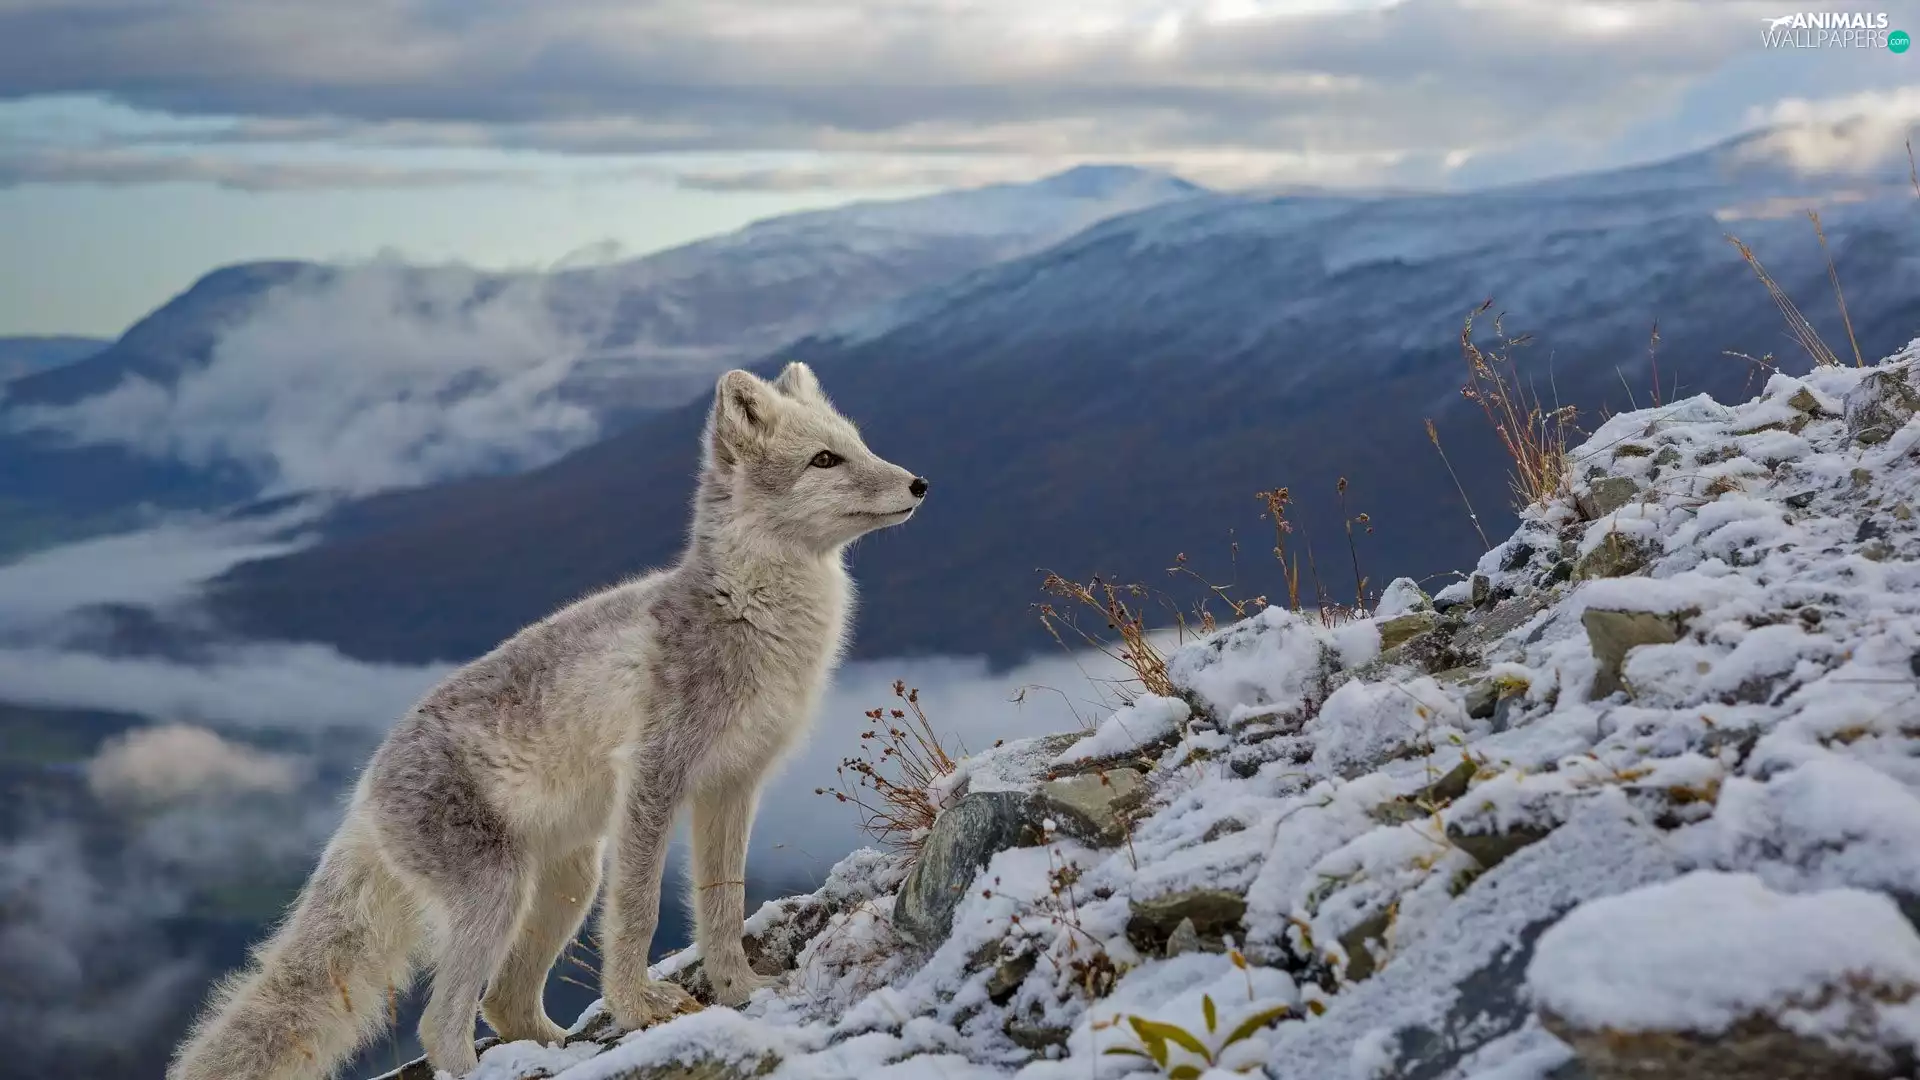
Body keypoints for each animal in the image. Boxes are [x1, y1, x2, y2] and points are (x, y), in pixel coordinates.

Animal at [168, 362, 928, 1080]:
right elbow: (640, 913)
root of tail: (365, 788)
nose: (920, 483)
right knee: (444, 1022)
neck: (749, 614)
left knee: (505, 1005)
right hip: (499, 894)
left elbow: (721, 909)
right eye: (824, 460)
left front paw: (740, 992)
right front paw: (637, 1009)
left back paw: (553, 1046)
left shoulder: (732, 788)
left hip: (566, 883)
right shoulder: (654, 781)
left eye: (858, 444)